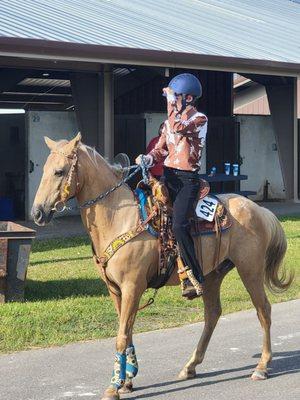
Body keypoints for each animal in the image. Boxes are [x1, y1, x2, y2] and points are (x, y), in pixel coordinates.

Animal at [31, 135, 292, 400]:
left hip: (250, 269)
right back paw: (190, 366)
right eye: (43, 170)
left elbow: (122, 336)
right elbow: (127, 331)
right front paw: (127, 379)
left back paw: (261, 366)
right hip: (212, 276)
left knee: (263, 310)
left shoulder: (132, 286)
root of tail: (258, 209)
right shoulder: (115, 289)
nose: (37, 212)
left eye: (59, 171)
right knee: (212, 314)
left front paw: (114, 386)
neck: (121, 219)